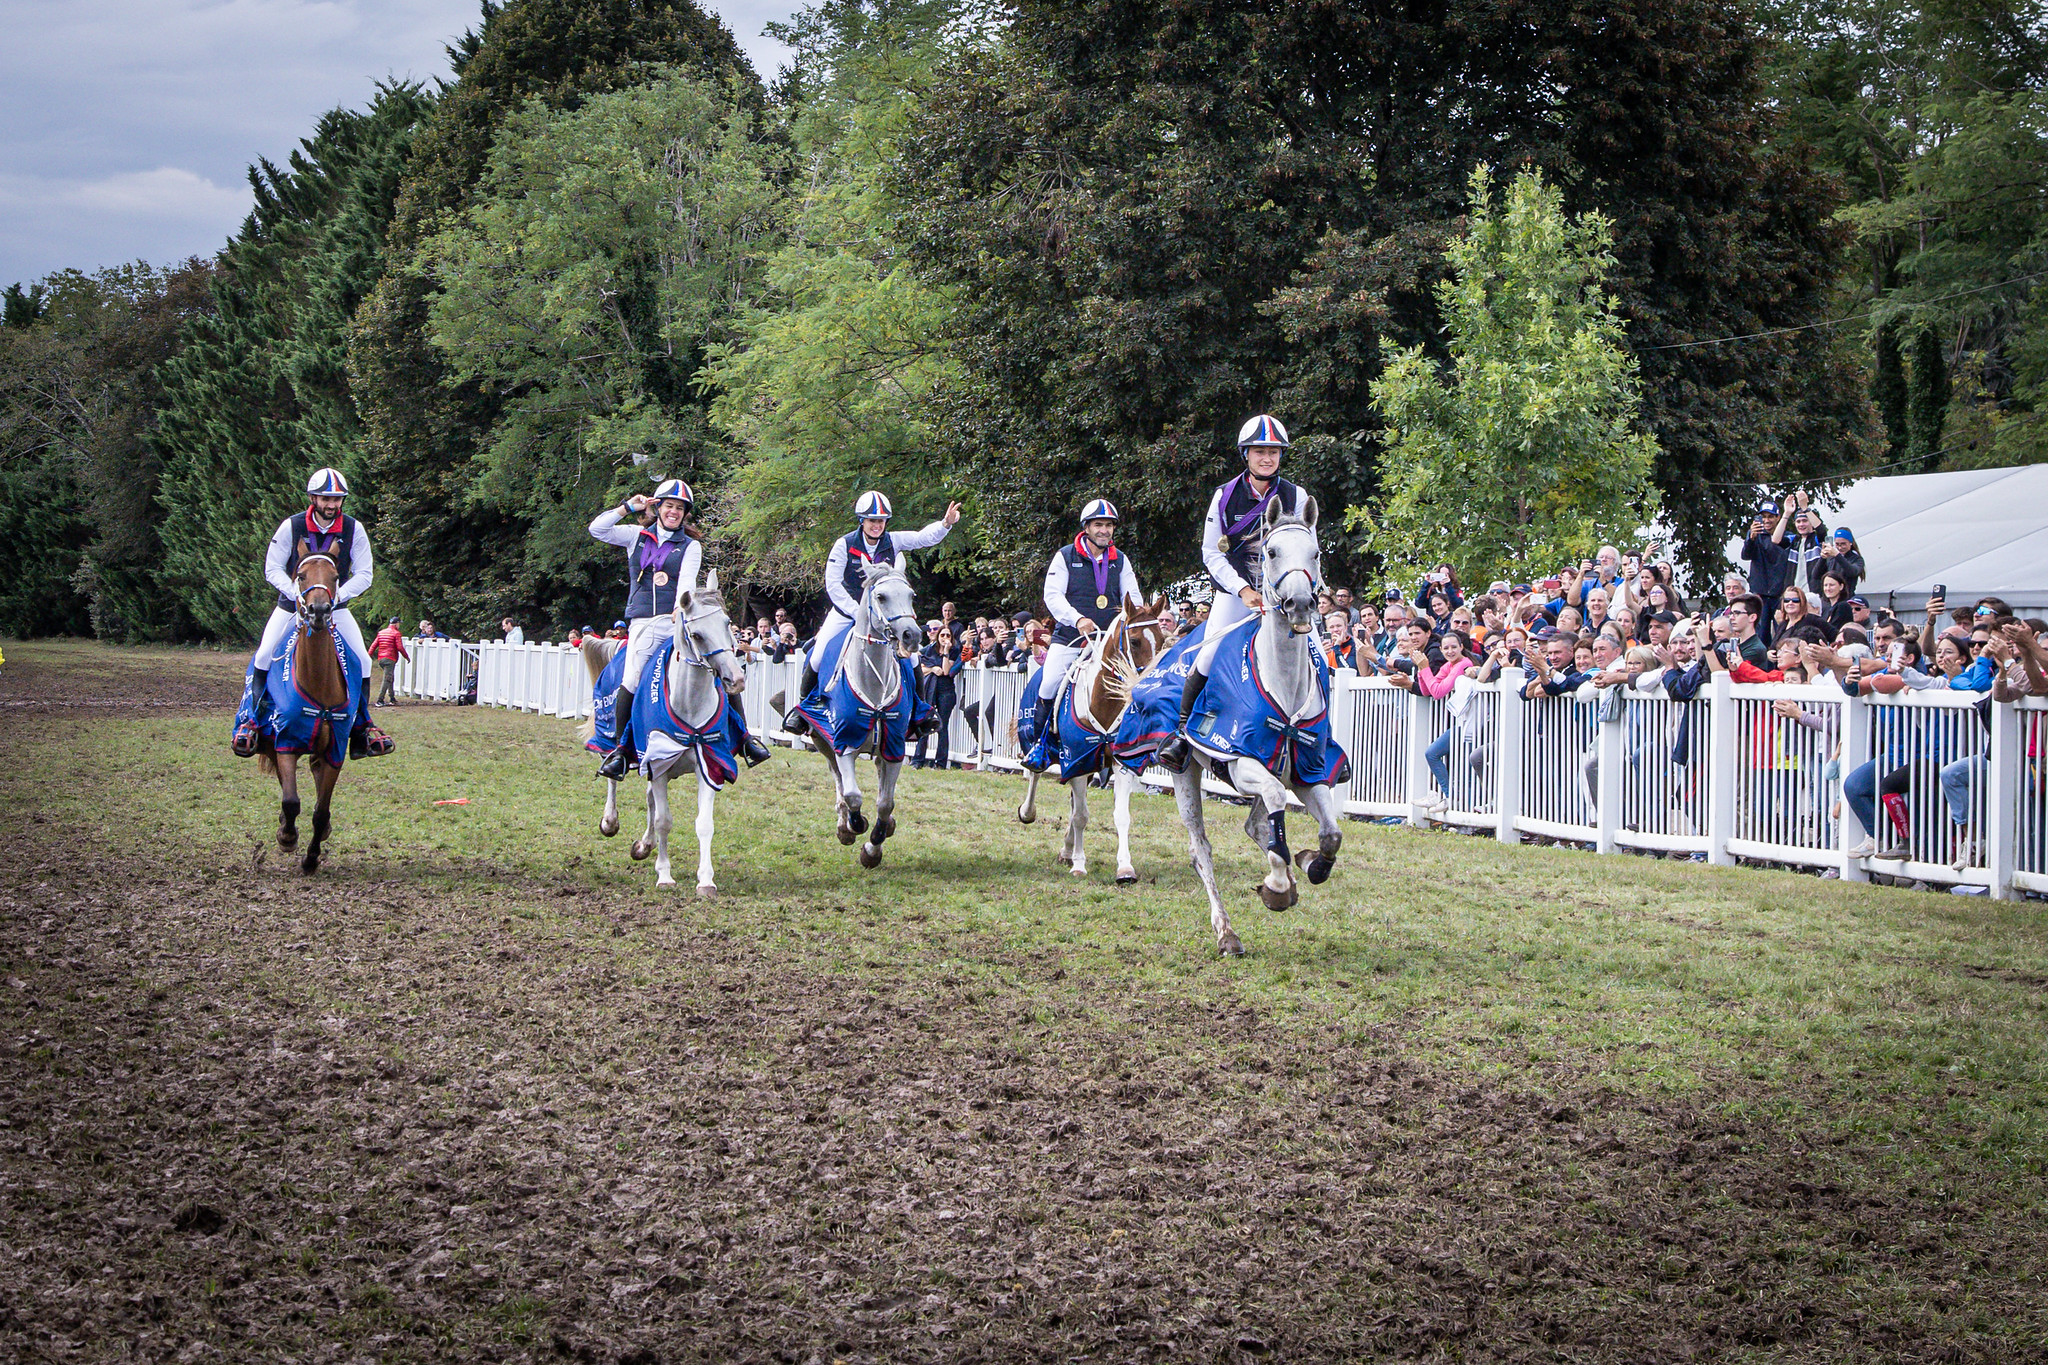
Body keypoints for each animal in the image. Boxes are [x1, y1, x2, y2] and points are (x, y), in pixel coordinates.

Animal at [256, 540, 348, 875]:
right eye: (301, 575)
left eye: (335, 576)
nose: (319, 611)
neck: (318, 679)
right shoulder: (285, 744)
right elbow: (291, 800)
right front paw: (287, 837)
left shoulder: (334, 751)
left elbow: (321, 810)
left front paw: (311, 857)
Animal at [598, 573, 749, 892]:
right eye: (698, 635)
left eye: (727, 624)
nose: (736, 680)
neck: (689, 703)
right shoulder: (658, 764)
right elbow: (664, 821)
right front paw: (665, 875)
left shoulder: (709, 764)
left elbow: (704, 823)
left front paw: (706, 880)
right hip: (613, 741)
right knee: (613, 776)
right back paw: (610, 821)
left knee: (649, 800)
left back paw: (644, 845)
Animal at [798, 560, 921, 871]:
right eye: (881, 597)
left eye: (911, 595)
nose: (912, 636)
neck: (873, 687)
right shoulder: (845, 744)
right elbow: (853, 795)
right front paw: (855, 826)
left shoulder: (894, 747)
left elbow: (885, 803)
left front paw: (873, 848)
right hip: (822, 742)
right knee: (839, 783)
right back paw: (844, 825)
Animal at [1011, 593, 1171, 879]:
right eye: (1134, 641)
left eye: (1162, 641)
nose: (1150, 684)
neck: (1103, 703)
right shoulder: (1076, 759)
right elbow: (1081, 816)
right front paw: (1079, 865)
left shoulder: (1115, 763)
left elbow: (1120, 815)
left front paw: (1125, 868)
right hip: (1040, 745)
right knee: (1035, 775)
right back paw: (1028, 813)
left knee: (1073, 803)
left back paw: (1066, 849)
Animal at [1171, 497, 1343, 957]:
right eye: (1271, 551)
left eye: (1315, 554)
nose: (1300, 604)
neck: (1283, 683)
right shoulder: (1242, 762)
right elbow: (1276, 822)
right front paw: (1278, 887)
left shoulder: (1307, 772)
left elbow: (1331, 834)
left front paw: (1311, 865)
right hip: (1186, 773)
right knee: (1202, 848)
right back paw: (1227, 933)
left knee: (1257, 825)